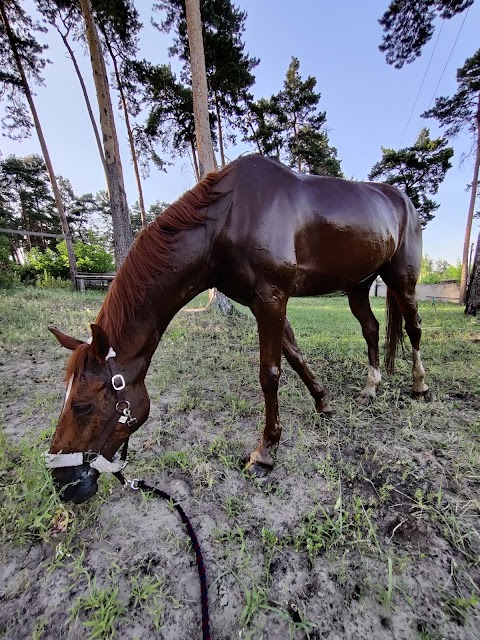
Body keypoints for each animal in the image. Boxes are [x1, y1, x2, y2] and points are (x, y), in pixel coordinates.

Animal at [46, 152, 428, 502]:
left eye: (82, 406)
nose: (63, 483)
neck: (226, 218)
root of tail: (403, 201)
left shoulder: (271, 298)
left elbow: (270, 373)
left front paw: (265, 454)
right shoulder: (262, 303)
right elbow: (295, 355)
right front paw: (323, 403)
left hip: (402, 280)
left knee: (414, 328)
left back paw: (419, 385)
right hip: (358, 286)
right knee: (371, 329)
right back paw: (370, 387)